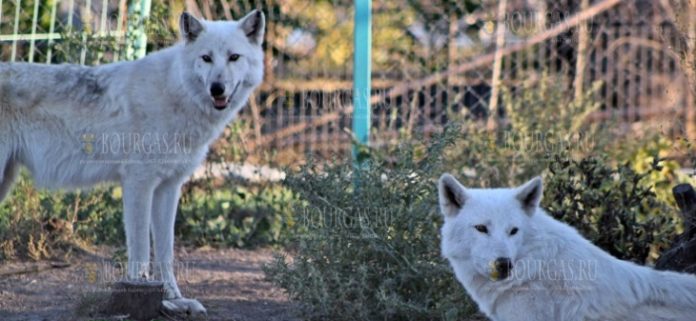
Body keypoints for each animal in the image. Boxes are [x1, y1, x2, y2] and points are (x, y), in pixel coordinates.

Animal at [0, 10, 266, 316]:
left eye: (234, 57)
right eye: (206, 58)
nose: (217, 88)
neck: (175, 93)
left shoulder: (168, 188)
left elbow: (165, 251)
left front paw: (175, 300)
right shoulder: (139, 184)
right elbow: (140, 248)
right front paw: (149, 294)